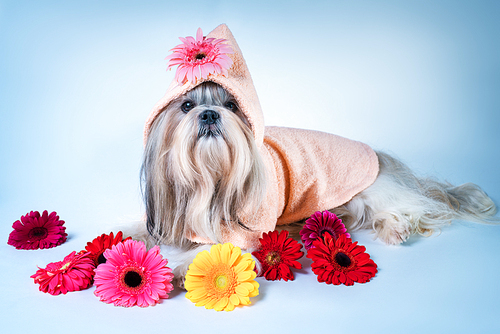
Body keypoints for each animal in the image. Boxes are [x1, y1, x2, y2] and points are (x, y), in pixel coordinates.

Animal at [132, 24, 496, 284]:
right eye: (187, 106)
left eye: (231, 105)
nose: (209, 114)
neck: (211, 179)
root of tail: (379, 156)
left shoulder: (248, 232)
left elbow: (218, 247)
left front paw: (180, 268)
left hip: (370, 191)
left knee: (417, 207)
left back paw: (396, 228)